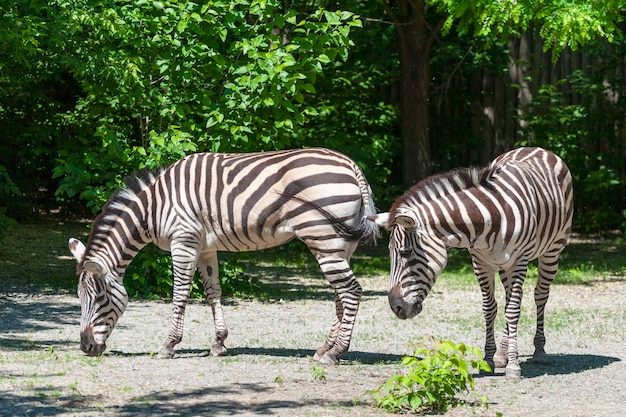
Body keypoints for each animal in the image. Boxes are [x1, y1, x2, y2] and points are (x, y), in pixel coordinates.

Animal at [70, 148, 378, 362]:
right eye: (79, 298)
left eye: (99, 299)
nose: (85, 347)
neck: (154, 208)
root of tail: (351, 166)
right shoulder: (205, 248)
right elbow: (213, 292)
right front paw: (219, 343)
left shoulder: (183, 242)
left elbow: (180, 294)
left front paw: (169, 345)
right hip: (340, 242)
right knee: (340, 294)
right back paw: (324, 348)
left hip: (322, 237)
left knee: (351, 290)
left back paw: (335, 353)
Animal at [368, 146, 572, 376]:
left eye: (405, 252)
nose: (396, 308)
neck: (491, 217)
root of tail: (534, 147)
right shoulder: (480, 262)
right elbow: (490, 308)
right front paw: (490, 360)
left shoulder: (519, 261)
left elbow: (513, 310)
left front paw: (513, 366)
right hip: (502, 265)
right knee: (510, 299)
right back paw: (503, 354)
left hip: (552, 250)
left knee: (540, 296)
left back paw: (539, 351)